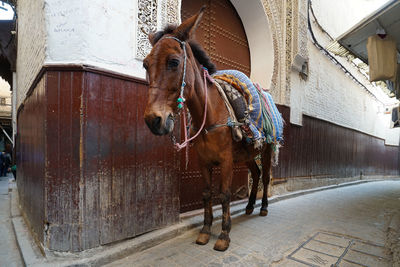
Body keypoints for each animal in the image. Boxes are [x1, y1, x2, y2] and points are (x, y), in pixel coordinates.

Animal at [142, 7, 274, 251]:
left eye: (174, 62)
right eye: (145, 64)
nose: (153, 120)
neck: (211, 112)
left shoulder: (226, 161)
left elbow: (224, 195)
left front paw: (223, 235)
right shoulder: (203, 161)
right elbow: (206, 194)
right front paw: (205, 231)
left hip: (267, 150)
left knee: (267, 176)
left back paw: (263, 208)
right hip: (248, 154)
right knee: (256, 173)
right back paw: (249, 206)